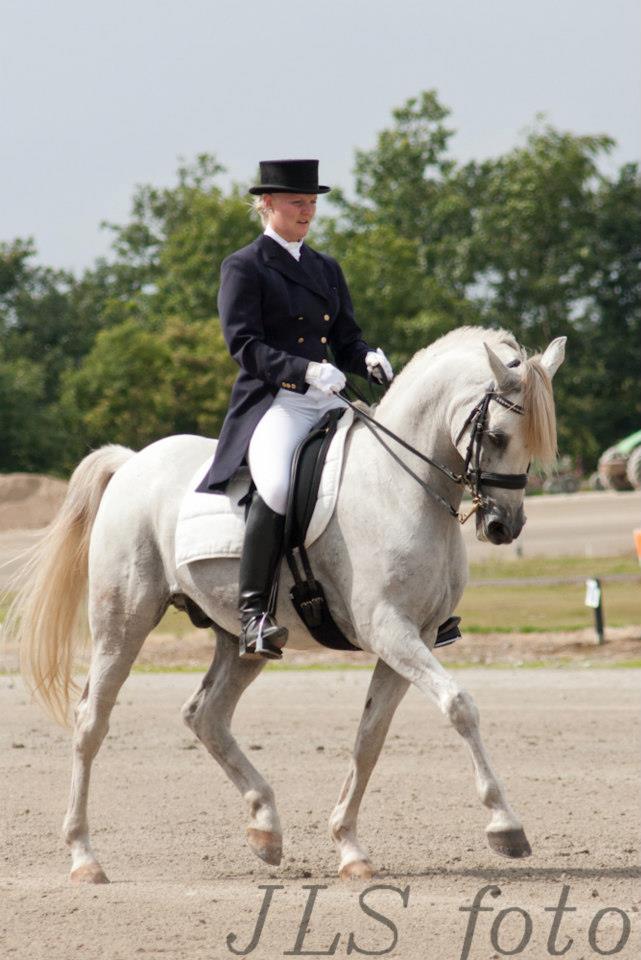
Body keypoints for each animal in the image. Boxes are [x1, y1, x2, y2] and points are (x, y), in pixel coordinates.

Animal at [7, 326, 564, 880]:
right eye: (497, 437)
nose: (503, 526)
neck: (400, 485)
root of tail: (131, 463)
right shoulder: (389, 629)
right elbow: (459, 705)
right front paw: (505, 825)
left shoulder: (416, 636)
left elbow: (370, 735)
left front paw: (349, 846)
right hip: (123, 621)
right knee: (91, 721)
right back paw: (84, 857)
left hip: (238, 638)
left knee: (205, 715)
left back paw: (266, 827)